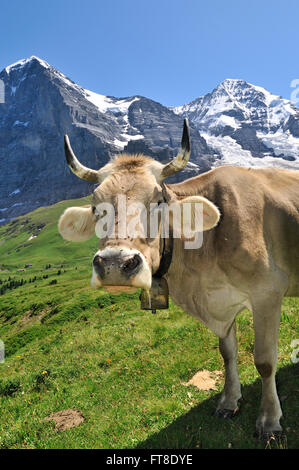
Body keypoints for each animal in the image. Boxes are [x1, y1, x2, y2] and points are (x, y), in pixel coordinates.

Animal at [59, 119, 299, 438]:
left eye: (159, 200)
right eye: (96, 207)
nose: (115, 264)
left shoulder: (268, 293)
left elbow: (264, 361)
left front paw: (269, 420)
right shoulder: (220, 303)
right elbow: (227, 352)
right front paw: (228, 401)